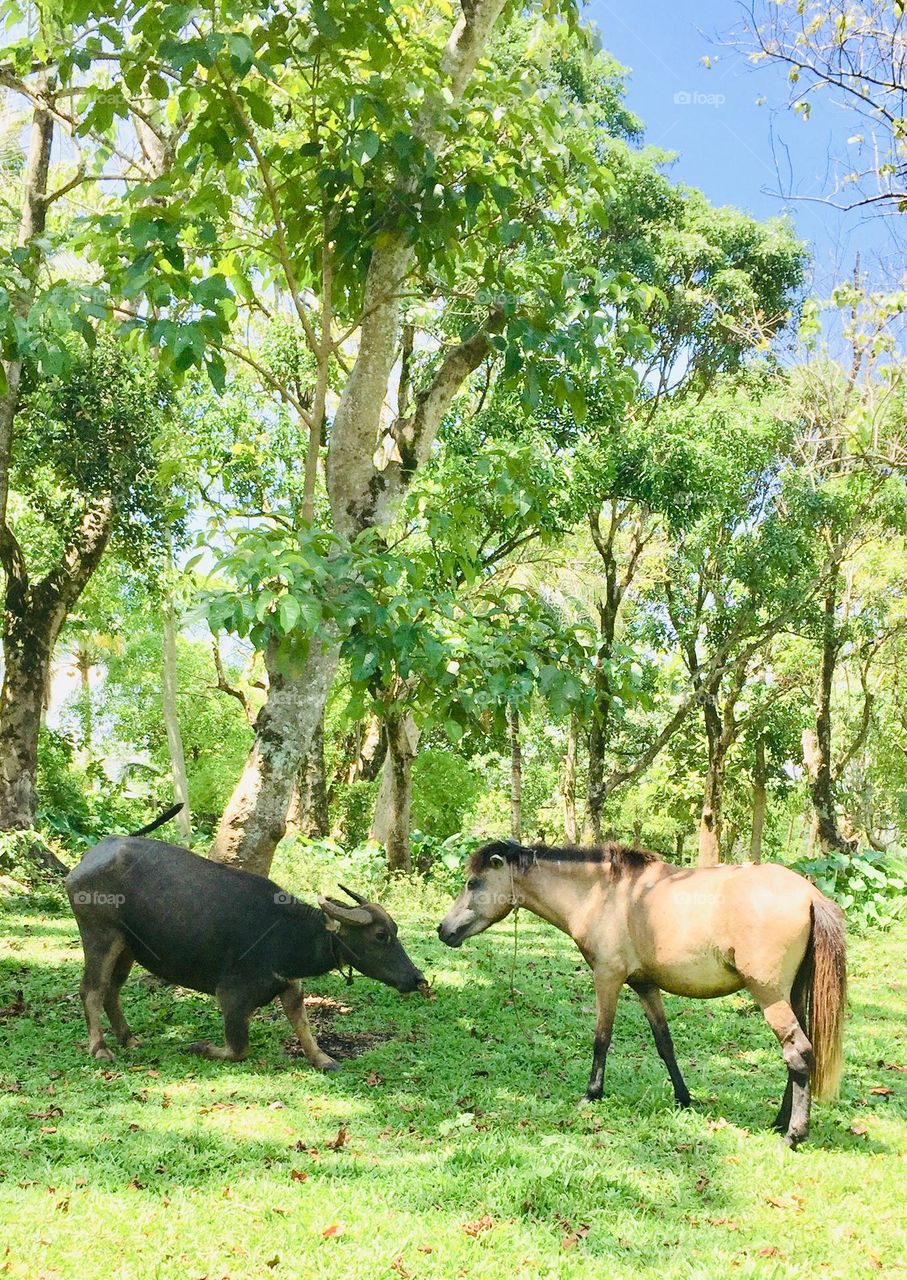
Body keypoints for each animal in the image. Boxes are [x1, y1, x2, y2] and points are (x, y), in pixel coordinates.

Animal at [65, 808, 427, 1070]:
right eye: (380, 935)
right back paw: (101, 1049)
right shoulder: (232, 997)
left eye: (395, 930)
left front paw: (324, 1059)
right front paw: (199, 1046)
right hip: (100, 934)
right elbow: (239, 1049)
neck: (286, 934)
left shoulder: (290, 986)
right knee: (92, 990)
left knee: (112, 990)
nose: (417, 978)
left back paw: (128, 1039)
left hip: (127, 946)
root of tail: (89, 857)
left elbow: (304, 1028)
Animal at [434, 839, 844, 1152]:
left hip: (770, 995)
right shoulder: (646, 986)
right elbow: (664, 1043)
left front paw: (592, 1094)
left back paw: (793, 1134)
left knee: (798, 1053)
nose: (443, 930)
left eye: (473, 882)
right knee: (799, 1057)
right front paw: (683, 1098)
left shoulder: (608, 978)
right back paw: (779, 1121)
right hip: (793, 995)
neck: (603, 895)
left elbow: (601, 1039)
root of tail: (809, 894)